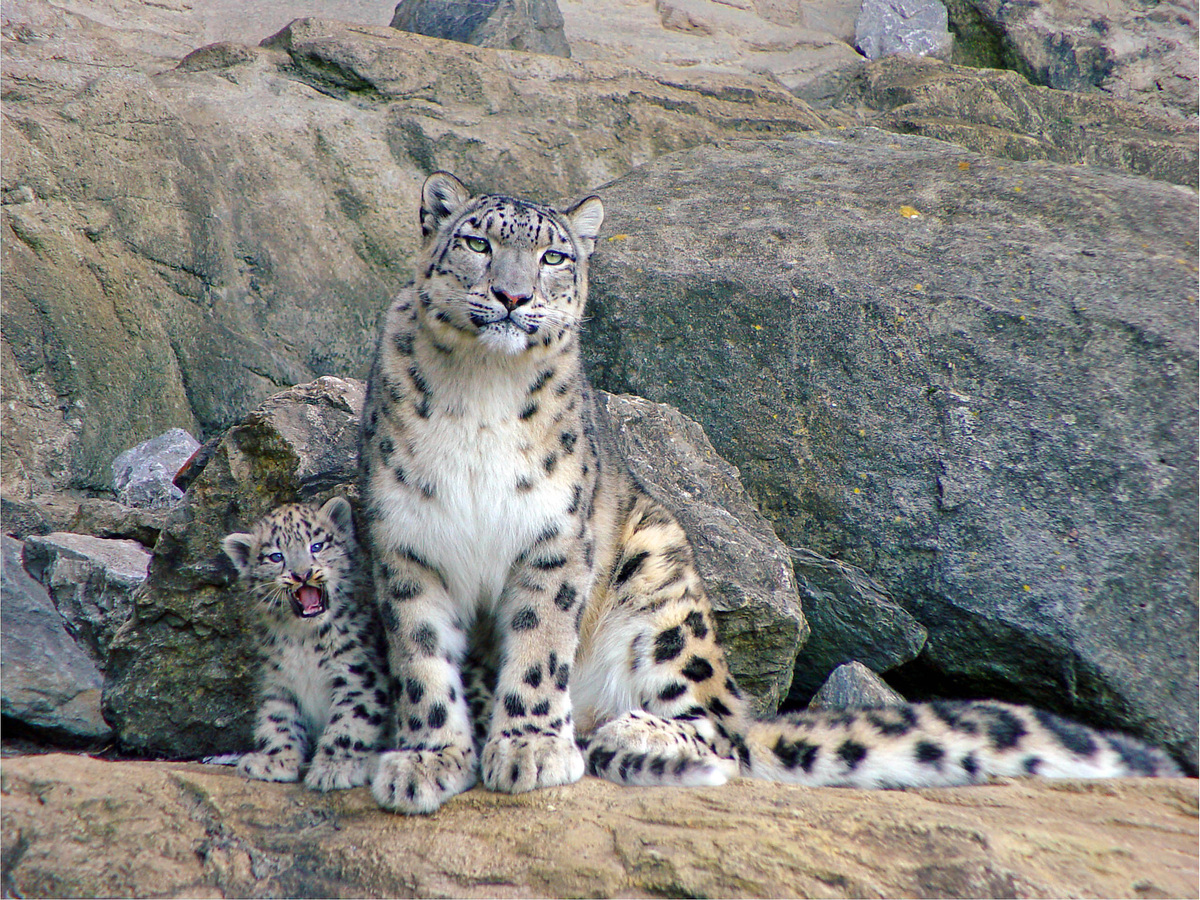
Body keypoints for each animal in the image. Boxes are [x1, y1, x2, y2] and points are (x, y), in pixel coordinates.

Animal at [222, 497, 391, 791]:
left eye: (317, 546)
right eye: (276, 556)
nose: (302, 574)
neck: (303, 639)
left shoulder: (358, 675)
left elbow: (349, 720)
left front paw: (335, 767)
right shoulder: (278, 680)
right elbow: (278, 720)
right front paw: (274, 760)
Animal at [358, 172, 1181, 814]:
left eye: (554, 255)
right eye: (477, 243)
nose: (511, 293)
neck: (480, 393)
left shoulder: (553, 541)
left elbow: (537, 648)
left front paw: (528, 748)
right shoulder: (405, 541)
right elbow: (422, 659)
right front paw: (426, 759)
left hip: (662, 579)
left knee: (722, 729)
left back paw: (632, 731)